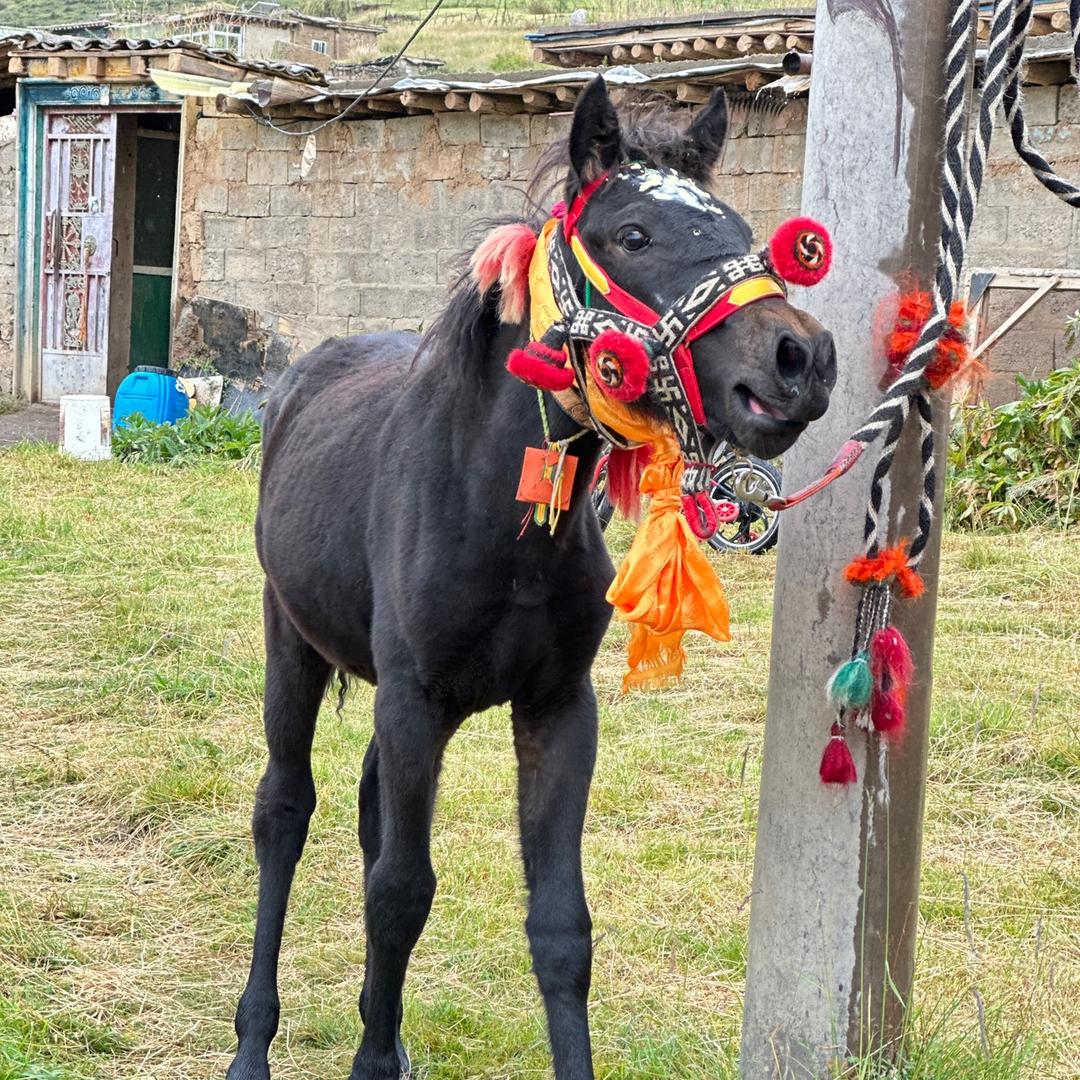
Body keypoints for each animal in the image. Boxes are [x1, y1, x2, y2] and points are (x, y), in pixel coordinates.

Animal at [226, 77, 837, 1080]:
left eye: (747, 232)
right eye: (634, 234)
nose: (802, 361)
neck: (493, 511)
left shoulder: (554, 709)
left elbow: (558, 926)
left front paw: (388, 1041)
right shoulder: (413, 700)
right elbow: (399, 893)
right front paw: (365, 1057)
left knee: (366, 811)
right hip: (293, 641)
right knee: (286, 811)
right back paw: (253, 1043)